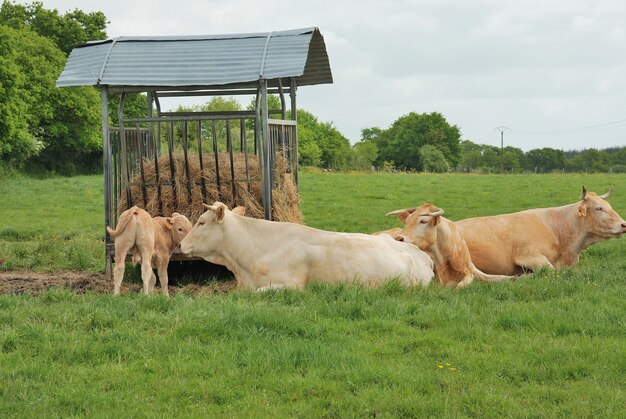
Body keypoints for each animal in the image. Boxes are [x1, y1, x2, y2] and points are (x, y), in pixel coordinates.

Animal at [388, 203, 516, 288]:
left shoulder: (472, 269)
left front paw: (514, 278)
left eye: (423, 221)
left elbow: (498, 277)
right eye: (407, 221)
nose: (399, 238)